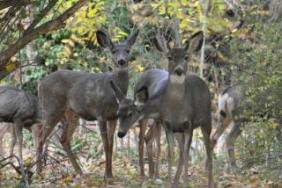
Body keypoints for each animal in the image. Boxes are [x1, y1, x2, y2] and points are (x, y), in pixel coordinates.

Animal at [36, 28, 139, 180]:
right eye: (113, 51)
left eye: (127, 50)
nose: (121, 61)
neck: (112, 94)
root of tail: (40, 83)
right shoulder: (100, 114)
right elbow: (105, 144)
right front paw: (106, 175)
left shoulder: (113, 117)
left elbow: (111, 145)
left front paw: (110, 174)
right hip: (51, 108)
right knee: (40, 137)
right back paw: (38, 174)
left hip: (71, 114)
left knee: (63, 139)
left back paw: (79, 171)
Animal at [110, 31, 214, 187]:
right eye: (118, 113)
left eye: (186, 57)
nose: (121, 133)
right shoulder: (167, 124)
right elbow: (170, 152)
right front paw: (168, 180)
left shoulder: (188, 125)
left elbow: (181, 153)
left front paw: (183, 182)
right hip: (167, 127)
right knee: (146, 140)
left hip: (206, 120)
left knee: (208, 146)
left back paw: (209, 182)